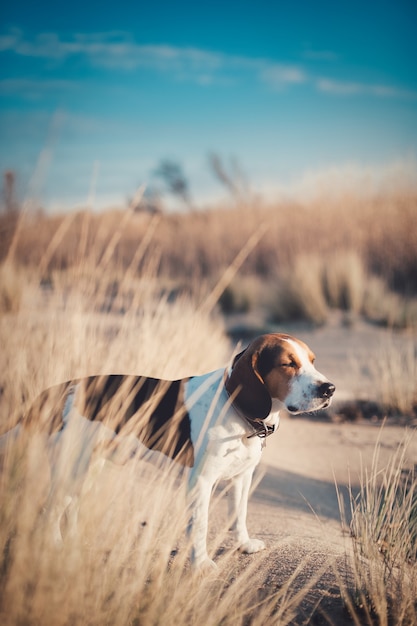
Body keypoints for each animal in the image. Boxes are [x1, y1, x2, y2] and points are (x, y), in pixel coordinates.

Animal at [2, 334, 334, 568]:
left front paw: (244, 544)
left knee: (69, 508)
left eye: (313, 361)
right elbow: (200, 526)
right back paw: (57, 550)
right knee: (49, 513)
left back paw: (73, 543)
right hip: (72, 467)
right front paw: (201, 565)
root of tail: (60, 389)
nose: (329, 389)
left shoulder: (242, 477)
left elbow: (238, 515)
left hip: (88, 467)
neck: (236, 407)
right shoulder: (201, 482)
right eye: (288, 364)